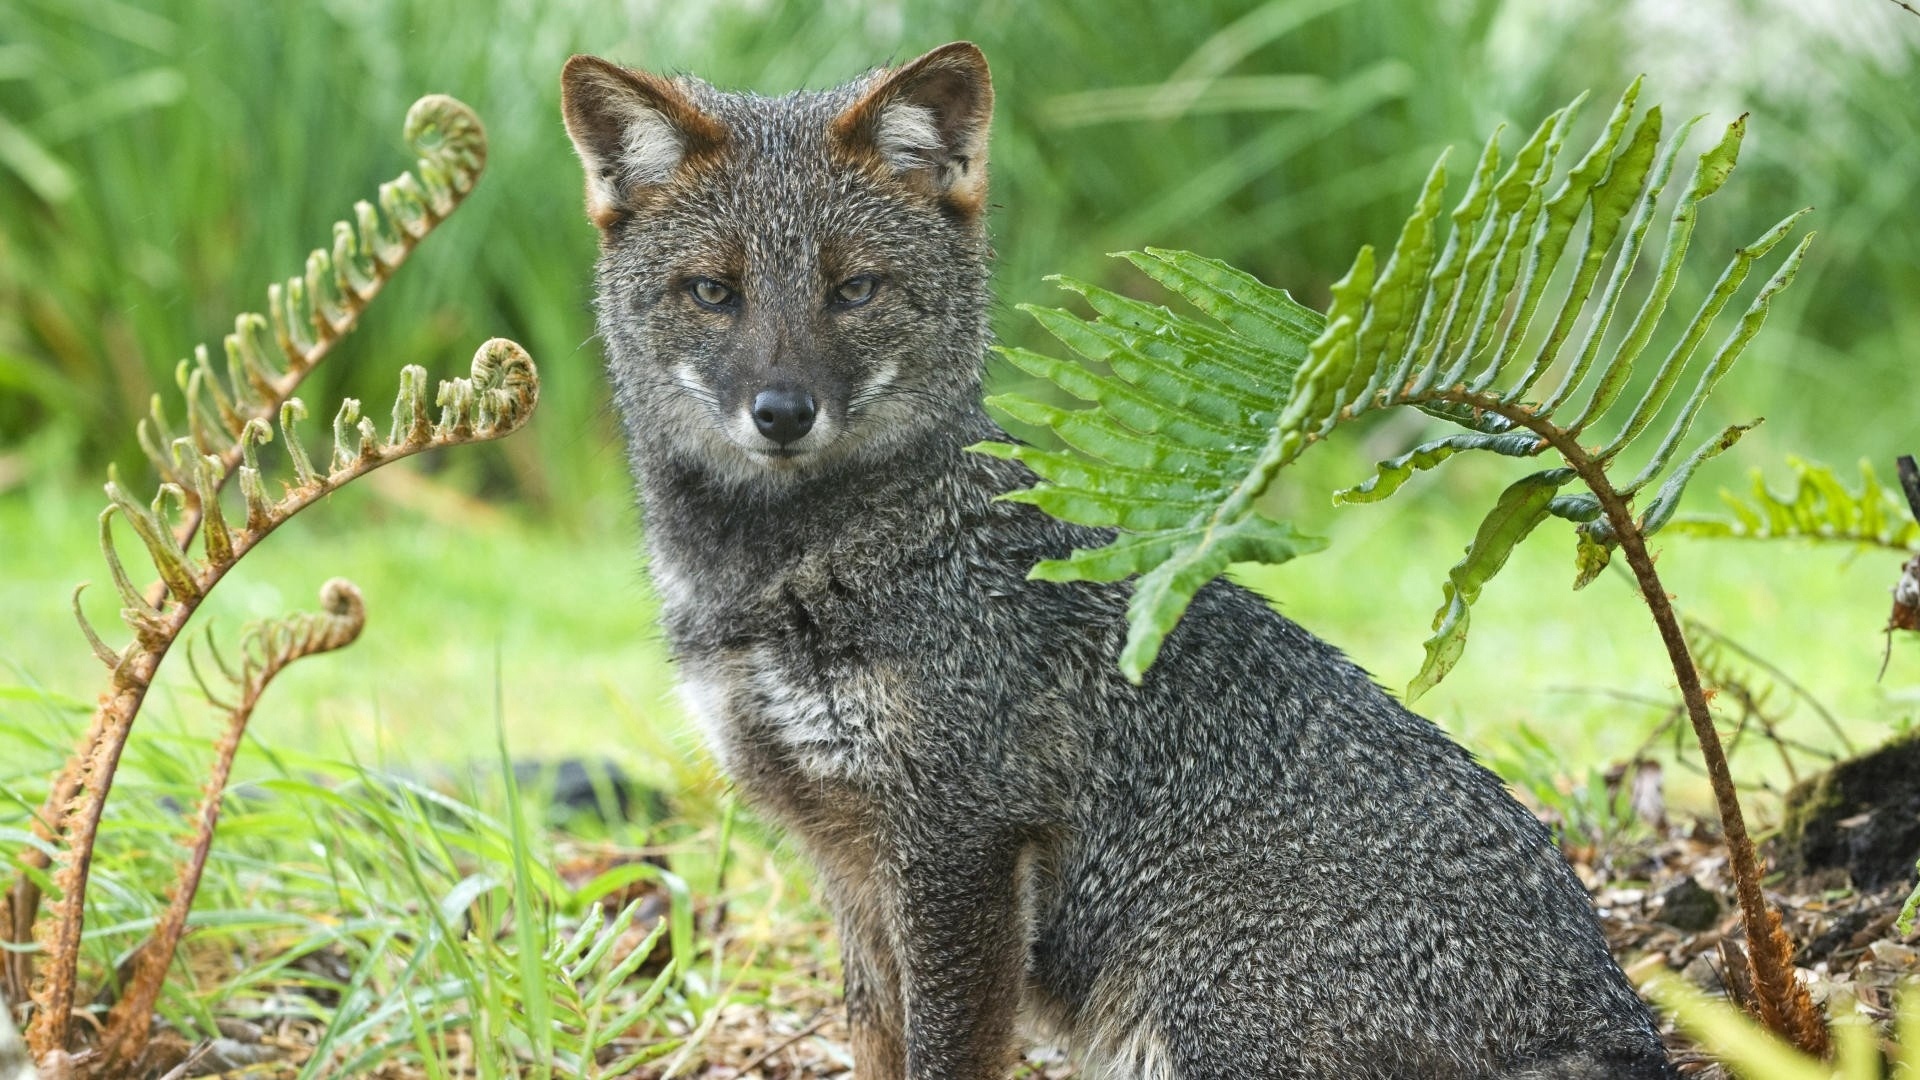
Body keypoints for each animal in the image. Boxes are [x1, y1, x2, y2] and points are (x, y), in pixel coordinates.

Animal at [560, 42, 1674, 1076]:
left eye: (855, 290)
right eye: (715, 292)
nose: (783, 412)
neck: (777, 578)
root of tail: (1616, 1015)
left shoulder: (960, 841)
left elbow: (944, 1053)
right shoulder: (847, 860)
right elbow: (874, 1043)